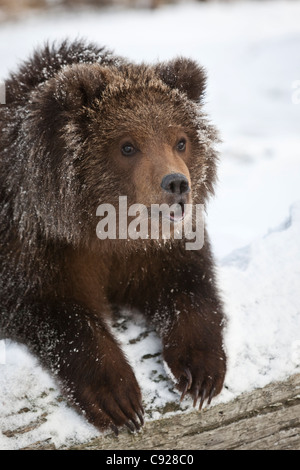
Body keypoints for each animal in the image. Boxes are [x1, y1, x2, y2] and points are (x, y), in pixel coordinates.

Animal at [0, 39, 225, 434]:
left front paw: (201, 372)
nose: (177, 184)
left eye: (180, 140)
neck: (109, 231)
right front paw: (119, 398)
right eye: (128, 146)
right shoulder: (35, 243)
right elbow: (54, 310)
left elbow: (188, 285)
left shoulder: (160, 248)